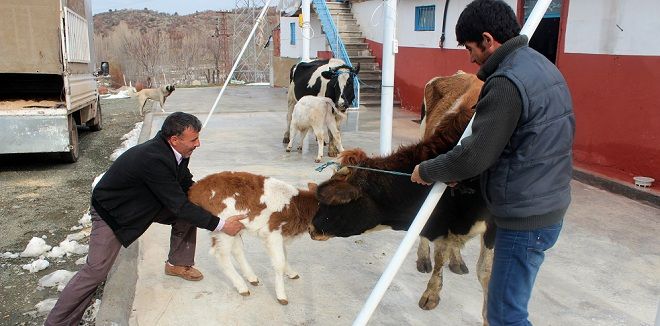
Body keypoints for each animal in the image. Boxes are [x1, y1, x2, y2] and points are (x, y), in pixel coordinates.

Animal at [187, 171, 318, 306]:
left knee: (237, 250)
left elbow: (284, 255)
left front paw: (291, 273)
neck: (295, 205)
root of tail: (197, 187)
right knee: (221, 255)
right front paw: (281, 295)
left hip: (235, 227)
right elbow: (279, 262)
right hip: (225, 228)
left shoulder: (280, 234)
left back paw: (251, 277)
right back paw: (242, 286)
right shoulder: (273, 233)